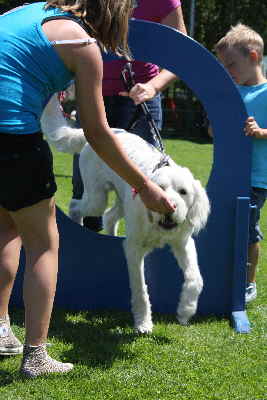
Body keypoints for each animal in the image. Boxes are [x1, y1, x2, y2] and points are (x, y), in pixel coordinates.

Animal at [40, 94, 210, 334]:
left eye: (183, 192)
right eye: (160, 189)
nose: (170, 208)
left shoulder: (183, 242)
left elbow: (196, 279)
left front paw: (186, 310)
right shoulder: (134, 249)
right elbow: (140, 288)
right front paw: (143, 322)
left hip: (121, 199)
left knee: (109, 217)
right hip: (97, 198)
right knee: (76, 205)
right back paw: (78, 223)